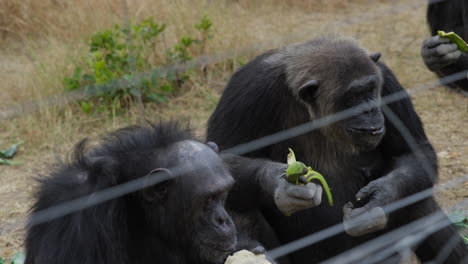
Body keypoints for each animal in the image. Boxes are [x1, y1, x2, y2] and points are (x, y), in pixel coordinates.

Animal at [207, 35, 468, 264]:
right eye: (353, 96)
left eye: (371, 89)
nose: (370, 109)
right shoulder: (247, 91)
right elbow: (222, 158)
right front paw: (281, 186)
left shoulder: (388, 81)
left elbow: (412, 151)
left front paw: (379, 199)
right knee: (238, 202)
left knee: (417, 197)